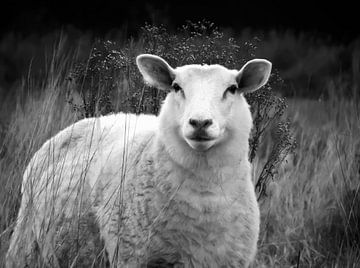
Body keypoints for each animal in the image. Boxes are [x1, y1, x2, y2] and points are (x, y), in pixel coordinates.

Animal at [5, 54, 272, 268]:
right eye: (176, 87)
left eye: (232, 88)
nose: (200, 122)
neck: (204, 199)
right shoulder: (131, 255)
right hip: (26, 239)